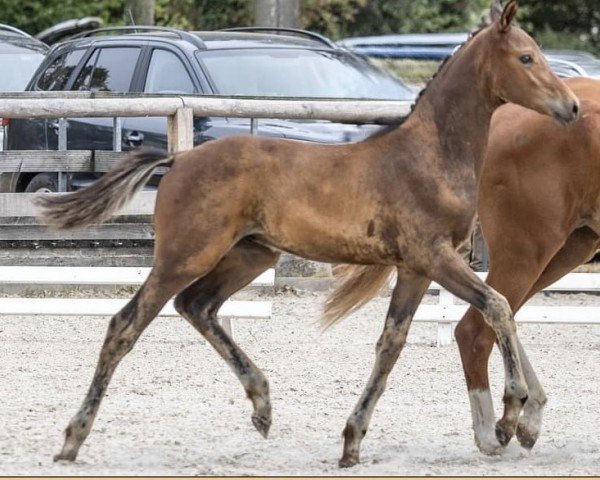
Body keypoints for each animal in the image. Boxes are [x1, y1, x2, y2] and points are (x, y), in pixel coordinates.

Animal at [36, 1, 576, 468]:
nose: (571, 107)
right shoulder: (434, 257)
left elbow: (391, 344)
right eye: (527, 57)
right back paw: (72, 439)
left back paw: (261, 404)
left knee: (197, 305)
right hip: (185, 254)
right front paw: (510, 413)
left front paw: (352, 442)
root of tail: (180, 158)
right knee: (126, 324)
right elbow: (497, 307)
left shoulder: (415, 268)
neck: (431, 155)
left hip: (250, 256)